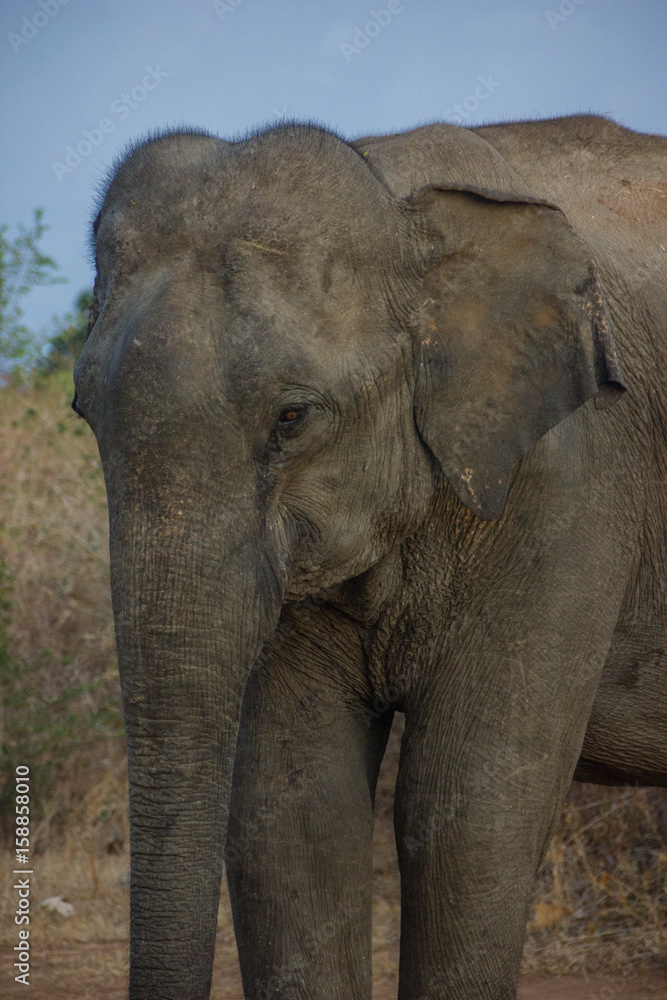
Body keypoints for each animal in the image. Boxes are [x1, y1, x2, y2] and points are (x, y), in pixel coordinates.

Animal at [73, 113, 667, 999]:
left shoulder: (573, 483)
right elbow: (294, 811)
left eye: (291, 418)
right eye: (84, 412)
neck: (396, 196)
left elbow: (464, 805)